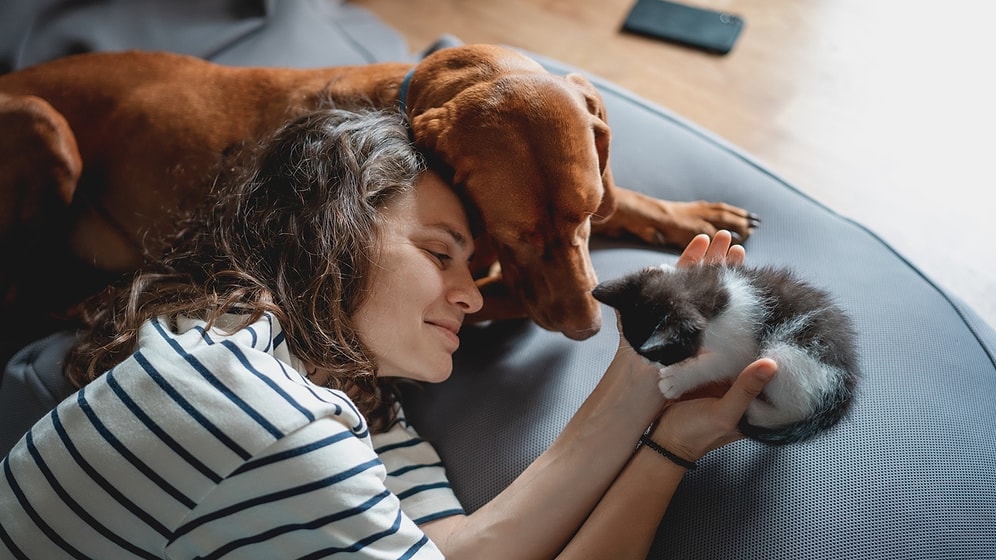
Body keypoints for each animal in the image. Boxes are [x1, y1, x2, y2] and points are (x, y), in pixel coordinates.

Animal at [0, 44, 756, 342]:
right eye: (516, 235)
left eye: (586, 218)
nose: (587, 330)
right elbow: (499, 298)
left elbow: (630, 199)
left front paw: (692, 212)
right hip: (45, 126)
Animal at [592, 264, 856, 446]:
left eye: (663, 354)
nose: (647, 361)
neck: (710, 296)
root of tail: (846, 386)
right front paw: (664, 268)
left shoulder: (741, 348)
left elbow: (719, 364)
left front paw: (676, 380)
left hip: (788, 354)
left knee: (795, 408)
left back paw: (756, 409)